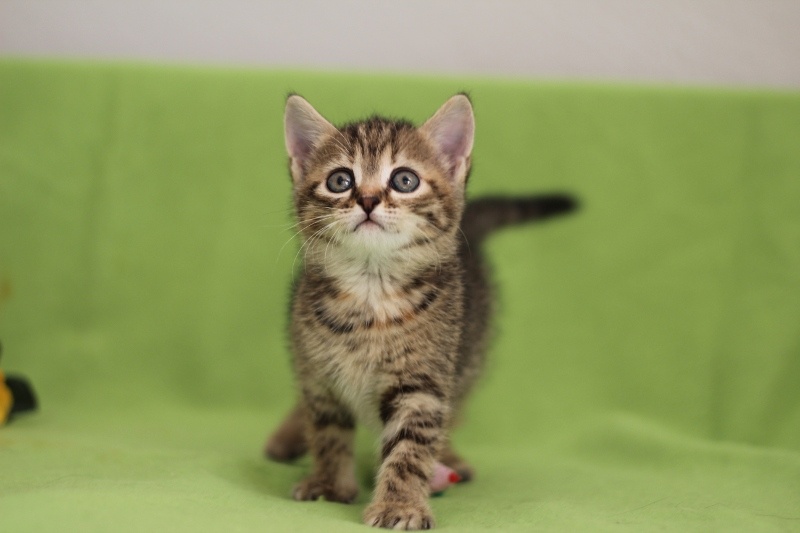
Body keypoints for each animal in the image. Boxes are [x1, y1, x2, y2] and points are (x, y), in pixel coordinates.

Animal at [265, 93, 576, 530]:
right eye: (340, 181)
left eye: (404, 181)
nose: (367, 200)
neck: (370, 292)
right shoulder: (319, 373)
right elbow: (327, 431)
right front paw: (329, 483)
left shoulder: (422, 383)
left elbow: (410, 447)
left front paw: (400, 505)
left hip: (470, 352)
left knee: (455, 407)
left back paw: (449, 457)